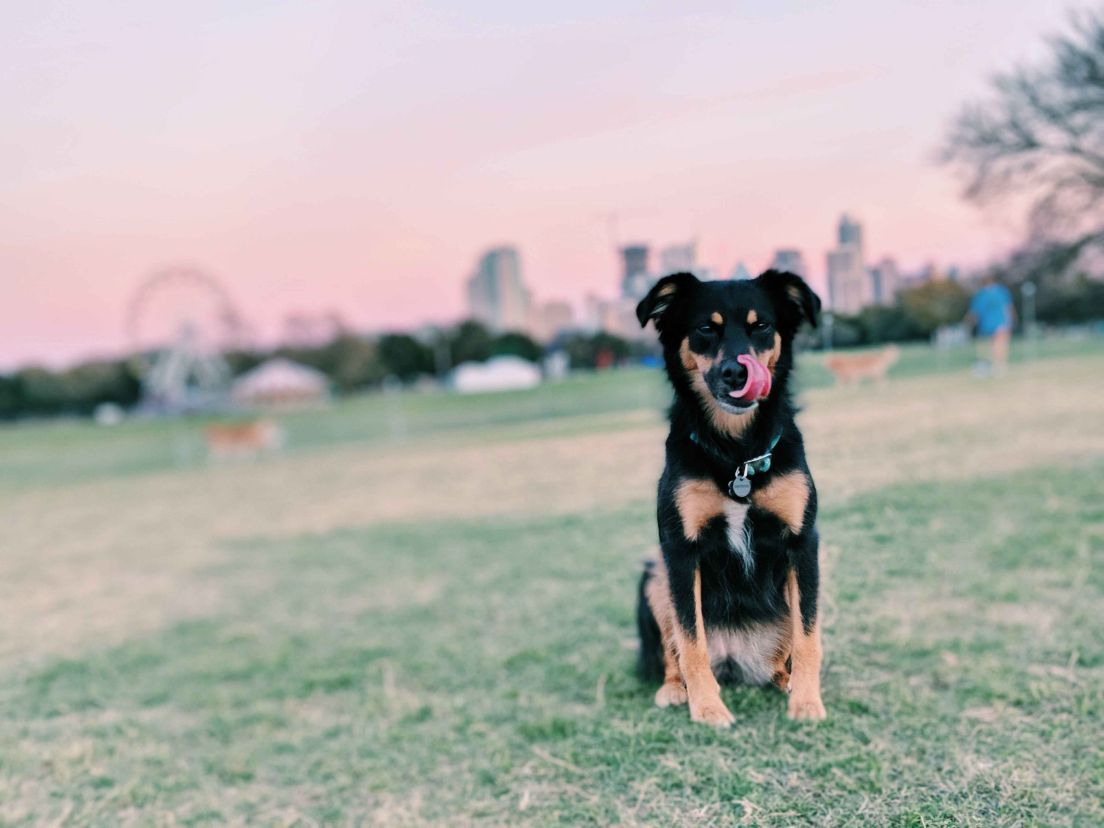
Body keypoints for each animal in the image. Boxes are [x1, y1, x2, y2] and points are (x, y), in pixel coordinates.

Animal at [635, 272, 825, 724]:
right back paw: (675, 689)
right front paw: (707, 708)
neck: (736, 455)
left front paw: (807, 701)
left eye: (761, 326)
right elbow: (691, 641)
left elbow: (808, 636)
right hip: (653, 576)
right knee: (674, 652)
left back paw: (784, 678)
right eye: (706, 328)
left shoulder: (803, 545)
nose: (736, 373)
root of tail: (736, 661)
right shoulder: (679, 551)